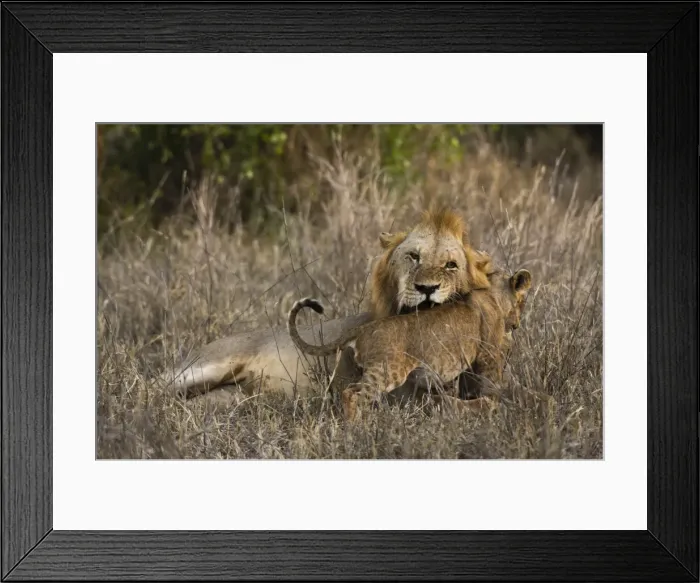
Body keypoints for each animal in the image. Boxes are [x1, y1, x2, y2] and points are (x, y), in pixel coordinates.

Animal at [165, 208, 492, 401]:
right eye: (413, 256)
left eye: (451, 265)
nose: (427, 288)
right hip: (206, 366)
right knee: (157, 386)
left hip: (229, 395)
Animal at [287, 267, 534, 421]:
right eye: (523, 301)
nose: (517, 324)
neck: (492, 293)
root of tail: (363, 329)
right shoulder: (489, 355)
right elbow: (492, 386)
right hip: (386, 371)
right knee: (353, 394)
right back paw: (355, 429)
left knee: (350, 392)